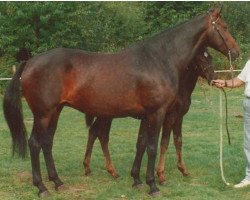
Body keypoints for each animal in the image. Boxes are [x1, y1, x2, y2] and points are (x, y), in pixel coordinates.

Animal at [83, 49, 216, 180]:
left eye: (211, 57)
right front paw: (161, 174)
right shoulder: (169, 117)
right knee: (102, 135)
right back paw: (110, 170)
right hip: (106, 116)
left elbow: (178, 141)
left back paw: (90, 168)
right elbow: (165, 142)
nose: (213, 78)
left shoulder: (178, 117)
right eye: (201, 59)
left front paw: (183, 170)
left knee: (94, 132)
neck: (179, 89)